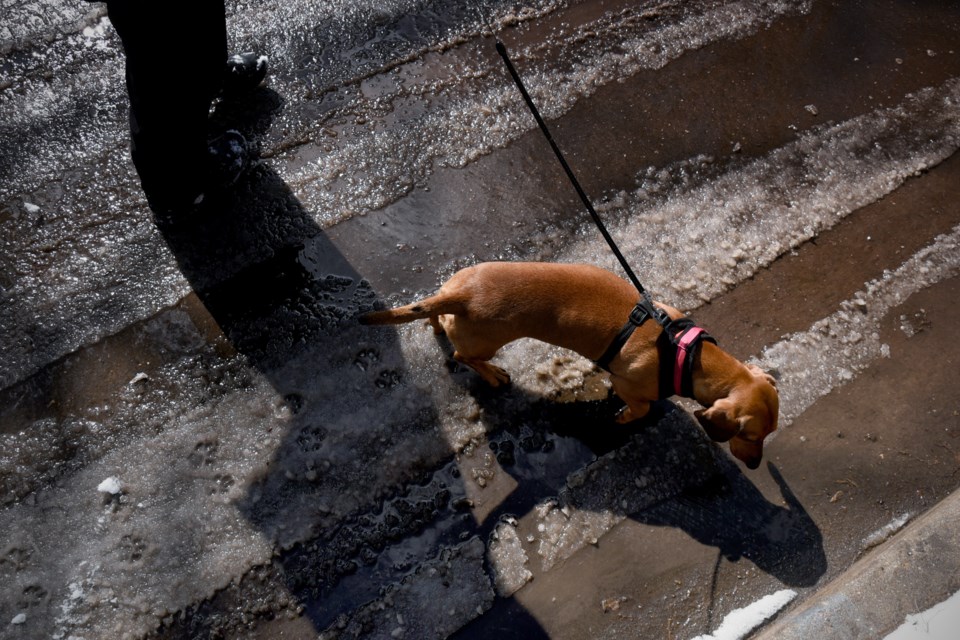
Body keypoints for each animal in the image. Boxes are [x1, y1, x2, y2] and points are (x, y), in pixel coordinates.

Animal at [360, 262, 780, 470]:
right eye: (750, 435)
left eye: (768, 434)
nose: (756, 465)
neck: (686, 355)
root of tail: (462, 294)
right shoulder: (632, 384)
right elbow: (640, 407)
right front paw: (623, 416)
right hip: (487, 341)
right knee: (464, 357)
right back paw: (493, 375)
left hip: (453, 306)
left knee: (437, 320)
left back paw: (436, 323)